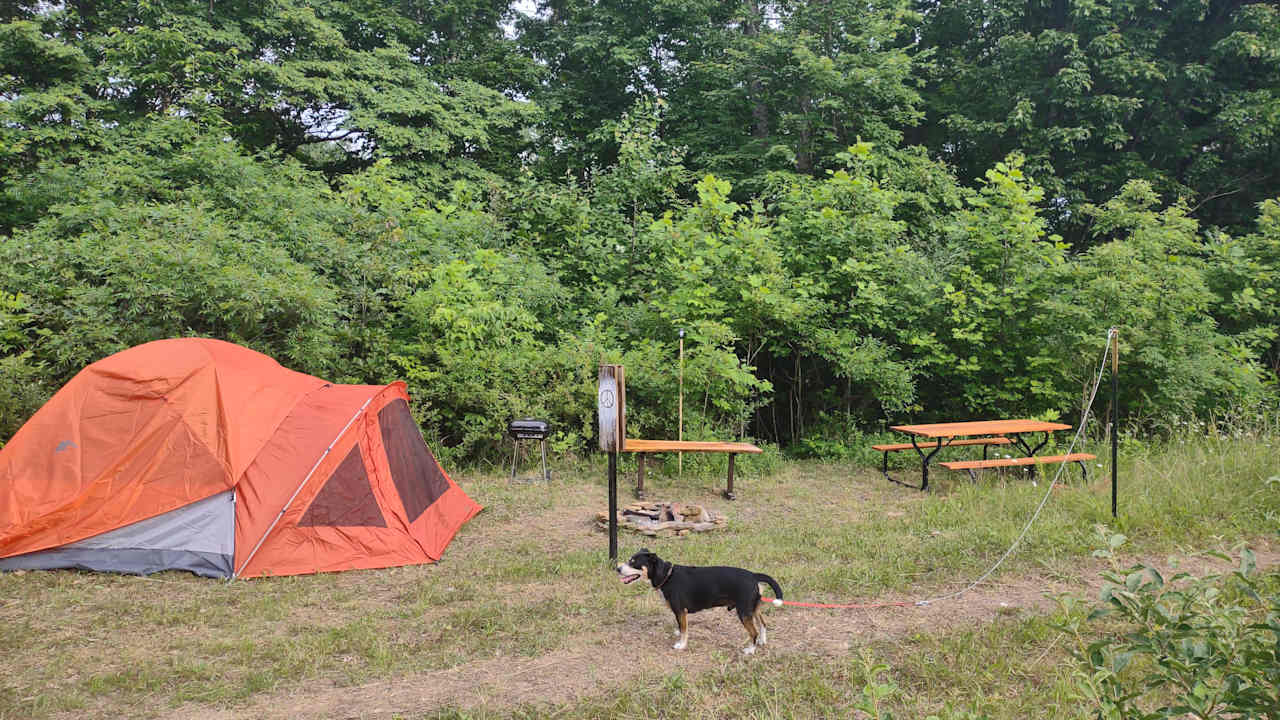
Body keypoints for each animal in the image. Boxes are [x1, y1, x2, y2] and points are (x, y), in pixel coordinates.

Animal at [616, 545, 783, 653]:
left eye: (633, 562)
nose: (617, 568)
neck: (667, 576)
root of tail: (753, 575)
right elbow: (681, 628)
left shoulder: (680, 611)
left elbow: (684, 630)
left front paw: (681, 645)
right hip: (753, 609)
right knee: (762, 624)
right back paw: (762, 641)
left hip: (743, 612)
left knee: (753, 632)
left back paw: (750, 650)